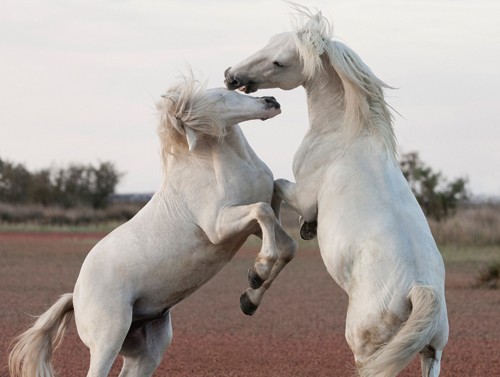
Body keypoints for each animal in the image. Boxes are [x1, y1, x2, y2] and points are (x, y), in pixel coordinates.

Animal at [8, 75, 296, 376]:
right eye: (220, 98)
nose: (271, 101)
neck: (219, 167)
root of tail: (75, 297)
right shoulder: (219, 227)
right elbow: (263, 212)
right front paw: (257, 272)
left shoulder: (251, 225)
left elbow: (286, 243)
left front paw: (249, 299)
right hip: (108, 339)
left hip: (147, 351)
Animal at [226, 5, 450, 376]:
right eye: (270, 41)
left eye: (279, 62)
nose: (231, 75)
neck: (344, 134)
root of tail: (420, 292)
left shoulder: (302, 195)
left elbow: (276, 197)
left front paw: (254, 283)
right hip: (431, 355)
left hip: (368, 353)